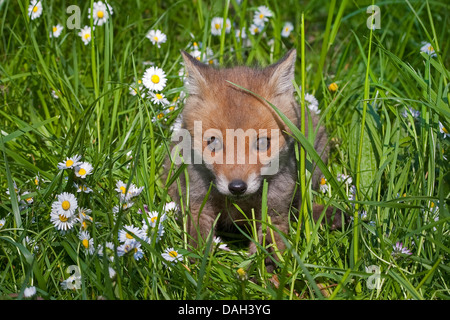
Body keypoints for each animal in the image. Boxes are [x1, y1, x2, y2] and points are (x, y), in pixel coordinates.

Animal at [165, 48, 342, 272]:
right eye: (213, 142)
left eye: (263, 143)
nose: (237, 187)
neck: (237, 204)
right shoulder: (197, 204)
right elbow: (196, 244)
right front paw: (195, 269)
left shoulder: (273, 211)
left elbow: (267, 246)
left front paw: (260, 273)